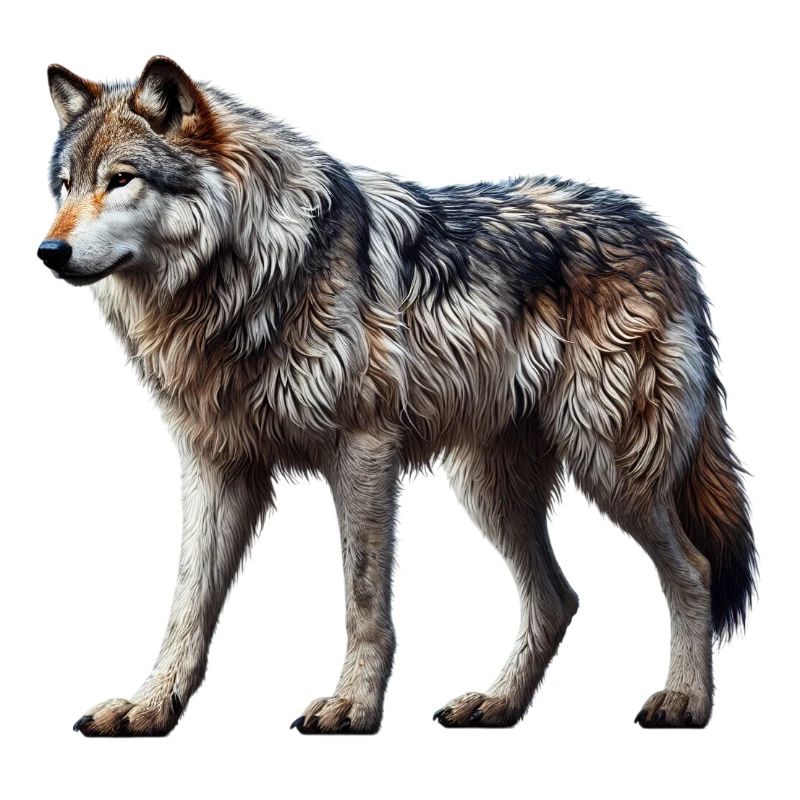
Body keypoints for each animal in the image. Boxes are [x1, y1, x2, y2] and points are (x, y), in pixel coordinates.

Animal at [39, 56, 756, 736]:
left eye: (120, 179)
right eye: (66, 185)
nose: (49, 250)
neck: (243, 277)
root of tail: (665, 239)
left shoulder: (363, 451)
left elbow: (362, 600)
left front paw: (353, 706)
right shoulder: (216, 465)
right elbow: (186, 604)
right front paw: (149, 707)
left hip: (611, 466)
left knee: (693, 570)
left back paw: (685, 701)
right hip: (491, 488)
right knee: (558, 599)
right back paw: (496, 704)